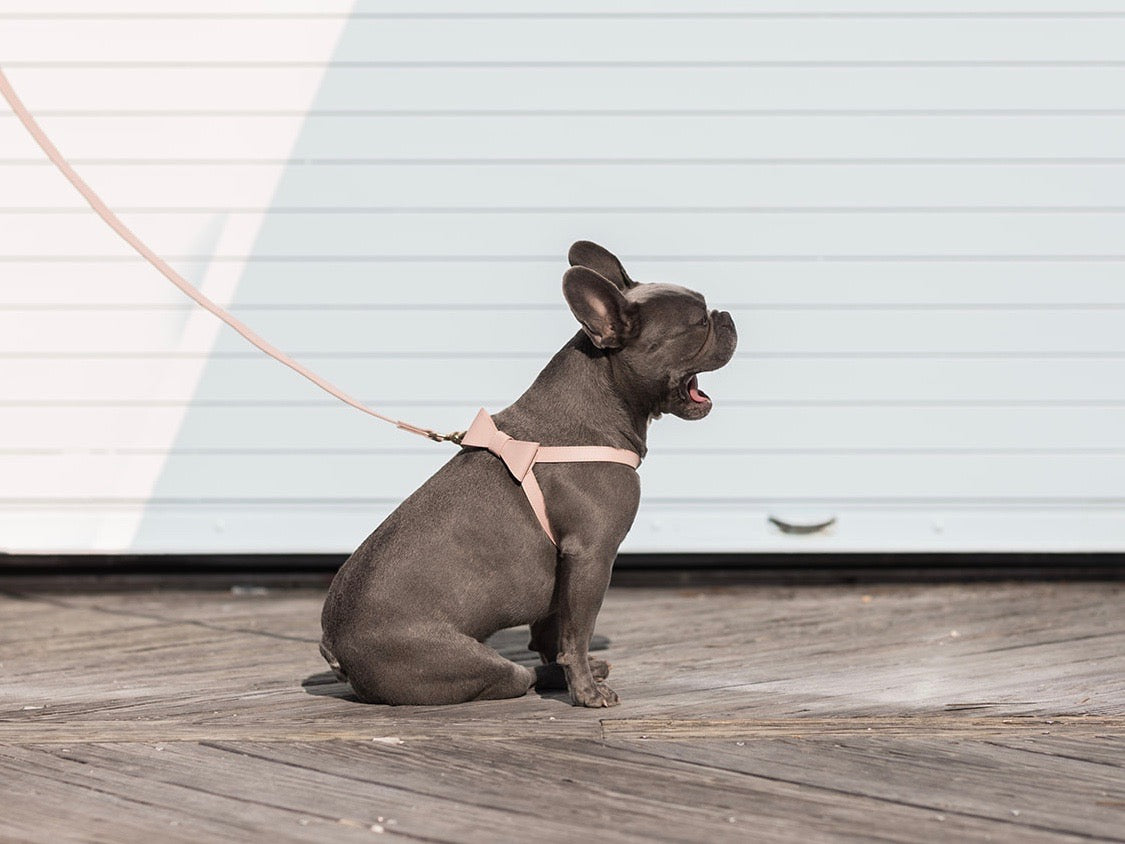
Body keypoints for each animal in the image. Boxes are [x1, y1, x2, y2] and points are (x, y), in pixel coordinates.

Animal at [319, 239, 738, 706]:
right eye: (698, 322)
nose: (725, 315)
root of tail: (334, 648)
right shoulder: (592, 556)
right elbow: (577, 634)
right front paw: (587, 693)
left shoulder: (565, 572)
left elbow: (553, 632)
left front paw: (576, 675)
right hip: (465, 663)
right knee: (520, 675)